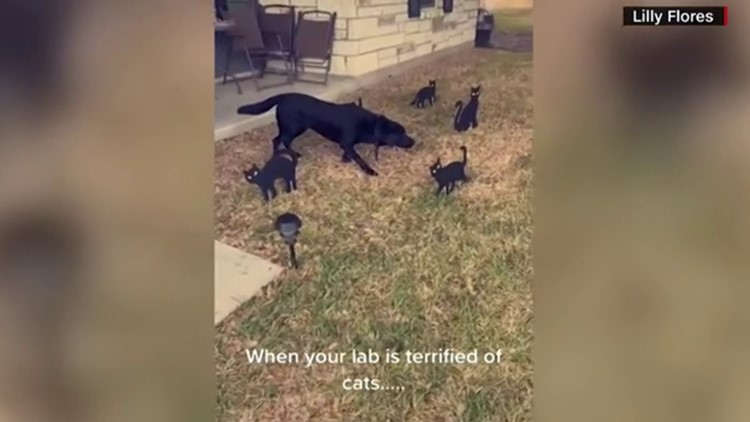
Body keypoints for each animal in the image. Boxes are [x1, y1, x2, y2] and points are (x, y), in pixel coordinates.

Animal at [238, 93, 418, 175]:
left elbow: (348, 153)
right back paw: (287, 155)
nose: (413, 141)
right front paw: (369, 171)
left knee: (280, 140)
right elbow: (359, 158)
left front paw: (345, 159)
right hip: (292, 128)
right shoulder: (347, 142)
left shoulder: (346, 144)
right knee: (277, 140)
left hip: (296, 128)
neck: (369, 124)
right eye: (401, 133)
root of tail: (283, 97)